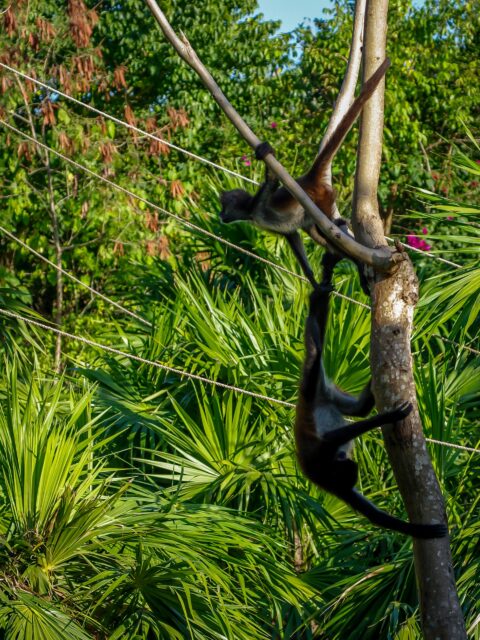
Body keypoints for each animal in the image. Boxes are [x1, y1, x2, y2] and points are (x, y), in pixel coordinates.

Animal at [219, 59, 391, 291]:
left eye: (224, 208)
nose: (220, 216)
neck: (250, 212)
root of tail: (309, 179)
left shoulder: (259, 204)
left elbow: (272, 181)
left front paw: (265, 151)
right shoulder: (281, 228)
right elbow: (292, 236)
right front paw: (315, 283)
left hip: (322, 201)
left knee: (330, 234)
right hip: (310, 217)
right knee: (321, 237)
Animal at [294, 253, 448, 538]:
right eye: (349, 471)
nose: (349, 461)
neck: (328, 468)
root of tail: (317, 395)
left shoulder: (324, 461)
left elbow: (335, 437)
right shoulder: (332, 479)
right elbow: (373, 515)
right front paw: (421, 530)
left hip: (314, 386)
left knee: (315, 346)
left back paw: (319, 291)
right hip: (325, 393)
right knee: (358, 408)